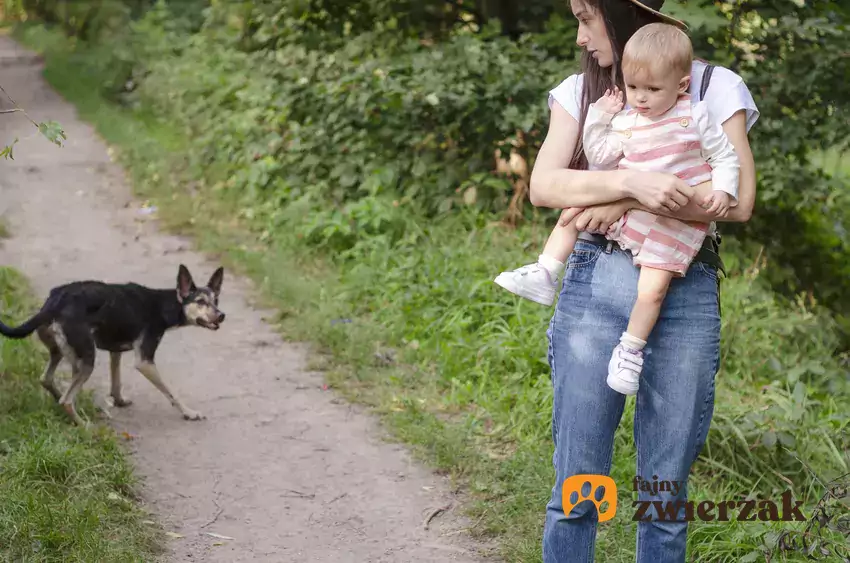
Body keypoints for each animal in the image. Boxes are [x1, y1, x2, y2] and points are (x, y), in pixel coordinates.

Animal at [0, 266, 225, 426]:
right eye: (200, 302)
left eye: (216, 300)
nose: (222, 315)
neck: (164, 305)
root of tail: (53, 303)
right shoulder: (145, 361)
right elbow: (171, 393)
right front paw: (189, 412)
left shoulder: (115, 351)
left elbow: (116, 382)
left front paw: (119, 401)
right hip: (86, 359)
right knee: (66, 400)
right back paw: (84, 425)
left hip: (62, 352)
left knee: (47, 380)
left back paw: (66, 405)